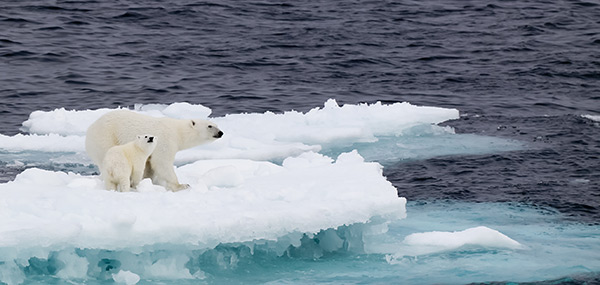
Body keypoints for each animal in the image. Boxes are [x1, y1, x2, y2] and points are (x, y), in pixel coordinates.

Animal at [85, 108, 224, 191]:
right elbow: (162, 163)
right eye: (210, 126)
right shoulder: (165, 141)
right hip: (106, 137)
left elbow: (149, 165)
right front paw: (182, 185)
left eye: (216, 125)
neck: (177, 132)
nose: (221, 133)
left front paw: (147, 181)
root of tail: (90, 129)